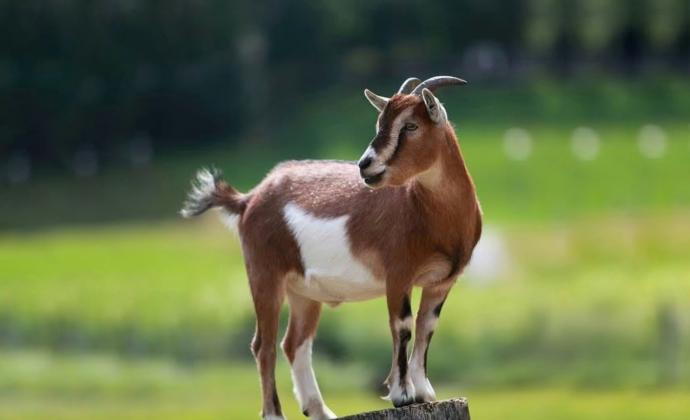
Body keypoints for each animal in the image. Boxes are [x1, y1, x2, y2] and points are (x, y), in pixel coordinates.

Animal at [181, 76, 482, 420]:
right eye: (380, 122)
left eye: (411, 126)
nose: (365, 165)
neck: (426, 210)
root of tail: (248, 199)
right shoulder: (398, 275)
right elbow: (403, 326)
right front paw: (403, 395)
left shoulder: (442, 281)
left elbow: (426, 326)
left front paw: (424, 392)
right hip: (264, 274)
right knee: (264, 345)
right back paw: (274, 413)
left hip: (303, 292)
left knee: (293, 343)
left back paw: (319, 410)